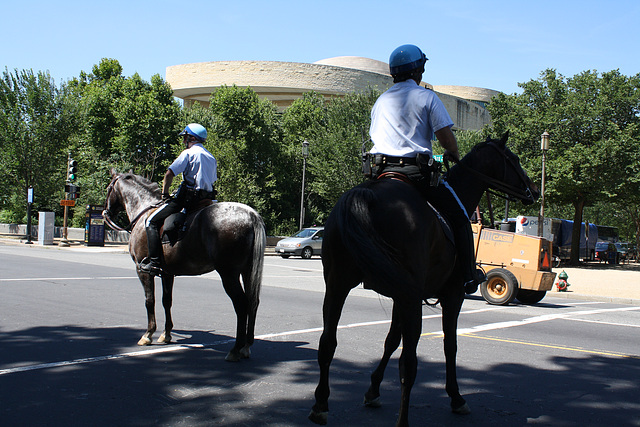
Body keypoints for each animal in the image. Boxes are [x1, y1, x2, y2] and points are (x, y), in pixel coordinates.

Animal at [102, 169, 264, 362]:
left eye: (108, 188)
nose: (106, 213)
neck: (144, 211)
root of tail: (250, 215)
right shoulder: (167, 273)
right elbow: (166, 301)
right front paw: (166, 333)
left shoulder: (142, 270)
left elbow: (150, 300)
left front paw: (148, 334)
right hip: (246, 271)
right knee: (253, 302)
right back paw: (246, 346)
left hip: (228, 274)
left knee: (241, 304)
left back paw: (236, 348)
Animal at [308, 133, 536, 424]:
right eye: (513, 159)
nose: (534, 191)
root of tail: (366, 195)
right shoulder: (452, 295)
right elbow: (450, 345)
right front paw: (456, 396)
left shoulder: (398, 297)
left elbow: (390, 340)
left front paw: (373, 390)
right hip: (410, 296)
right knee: (409, 362)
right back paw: (402, 420)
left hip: (338, 285)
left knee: (327, 343)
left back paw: (320, 405)